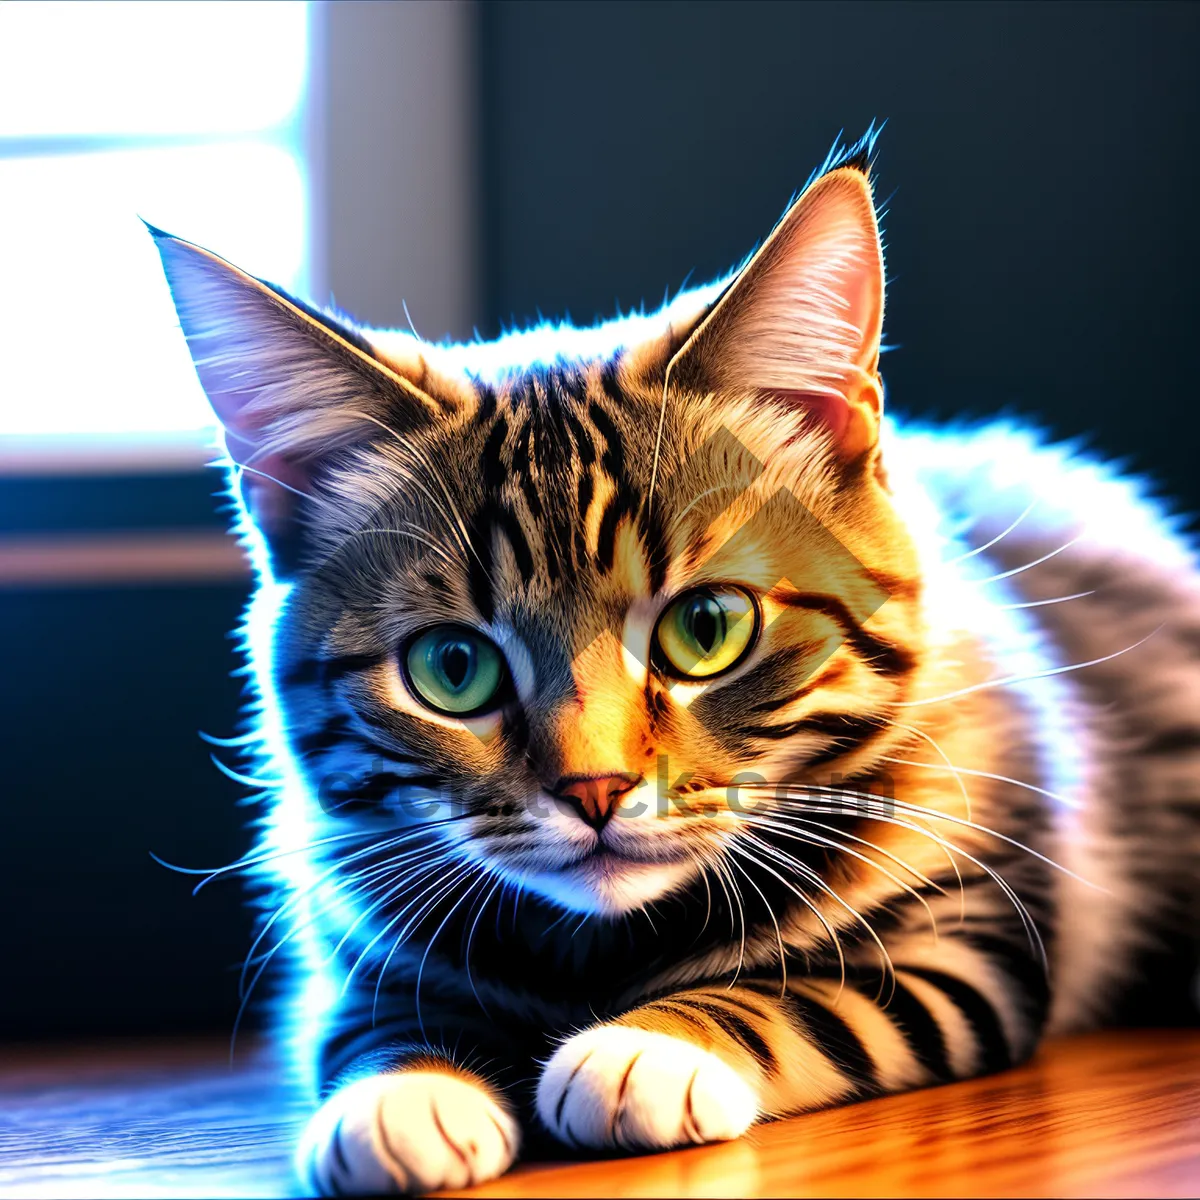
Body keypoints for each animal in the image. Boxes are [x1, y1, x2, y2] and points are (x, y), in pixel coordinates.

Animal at [152, 133, 1200, 1190]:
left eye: (706, 628)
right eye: (453, 668)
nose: (595, 789)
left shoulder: (967, 935)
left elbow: (814, 998)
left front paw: (650, 1046)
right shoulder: (359, 941)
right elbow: (377, 1021)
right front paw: (406, 1092)